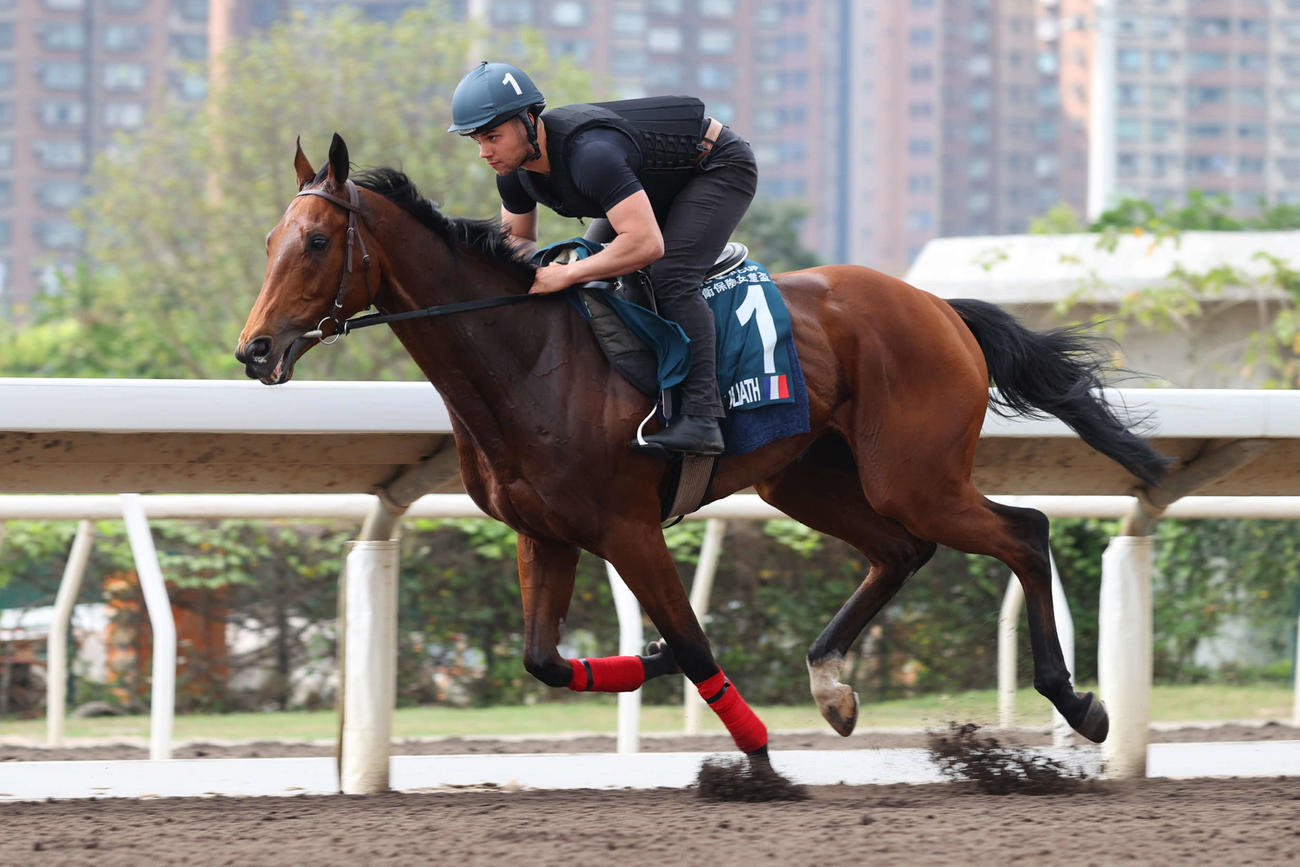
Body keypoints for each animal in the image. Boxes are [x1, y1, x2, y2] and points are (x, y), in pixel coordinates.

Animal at [237, 134, 1169, 762]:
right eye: (269, 241)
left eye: (316, 242)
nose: (253, 350)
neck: (529, 356)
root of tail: (940, 306)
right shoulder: (545, 533)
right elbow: (546, 660)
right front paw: (645, 658)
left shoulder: (628, 527)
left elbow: (694, 645)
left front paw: (754, 751)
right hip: (808, 478)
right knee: (903, 551)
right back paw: (831, 682)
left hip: (916, 475)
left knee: (1023, 531)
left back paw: (1078, 703)